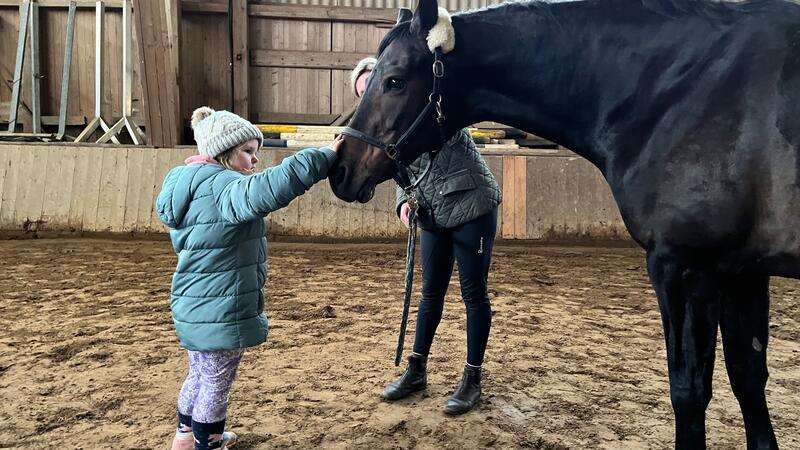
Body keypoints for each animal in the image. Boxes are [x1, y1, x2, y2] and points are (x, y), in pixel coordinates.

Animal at [329, 0, 800, 447]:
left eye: (394, 81)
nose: (340, 170)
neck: (673, 93)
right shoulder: (742, 273)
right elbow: (748, 378)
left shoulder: (685, 268)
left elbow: (689, 391)